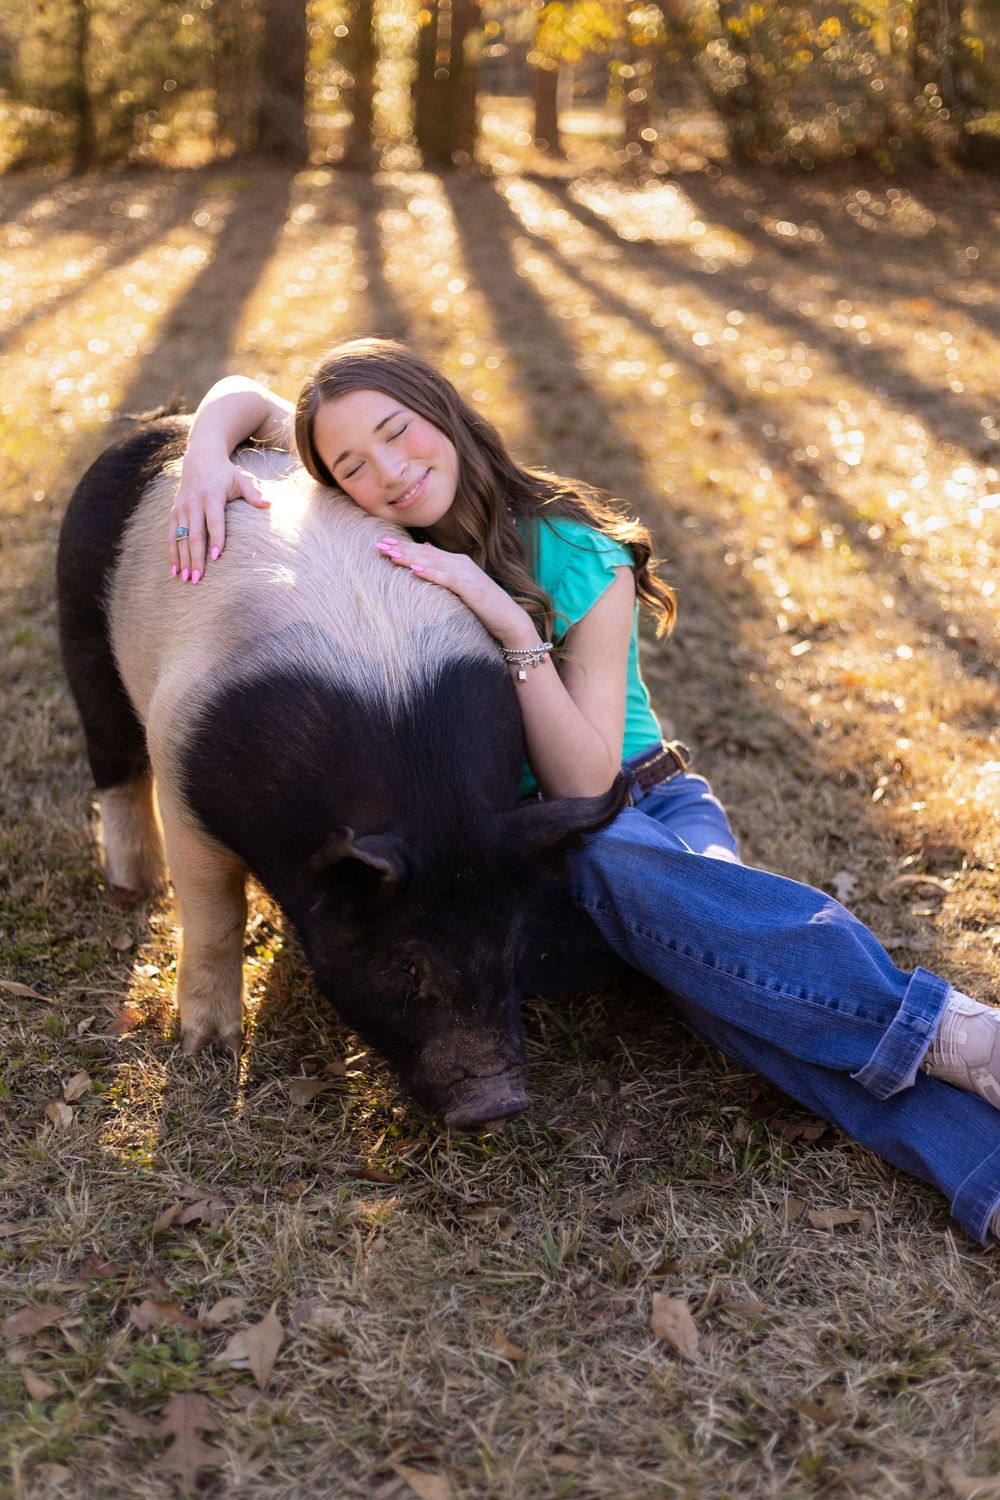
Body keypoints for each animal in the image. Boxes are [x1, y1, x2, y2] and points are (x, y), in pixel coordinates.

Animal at [57, 414, 626, 1128]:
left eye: (511, 947)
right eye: (407, 967)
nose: (497, 1102)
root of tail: (166, 422)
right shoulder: (183, 774)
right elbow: (216, 913)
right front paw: (208, 1051)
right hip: (78, 614)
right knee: (112, 757)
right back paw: (135, 889)